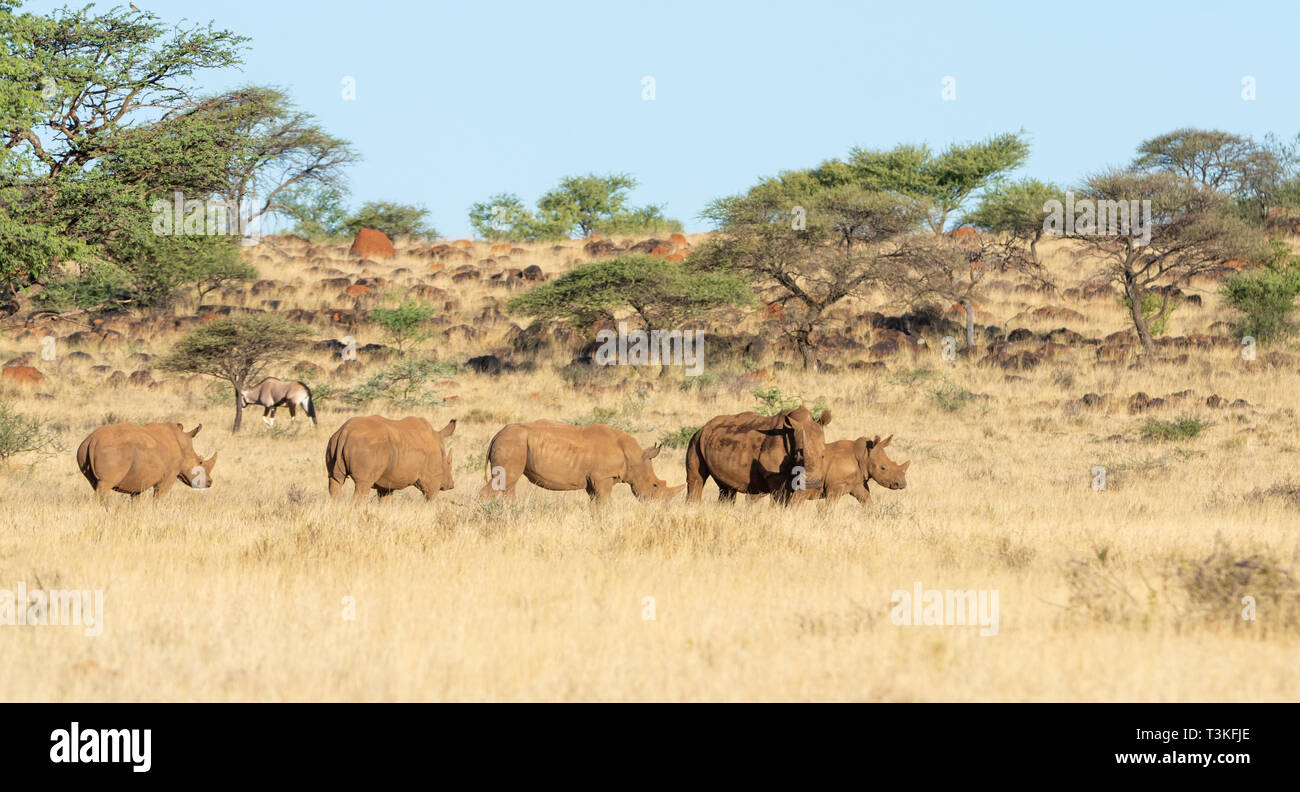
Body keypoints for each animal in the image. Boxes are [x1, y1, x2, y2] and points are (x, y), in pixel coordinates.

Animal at [76, 423, 217, 496]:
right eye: (200, 462)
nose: (210, 482)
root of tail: (93, 440)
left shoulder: (137, 479)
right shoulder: (168, 476)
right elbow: (159, 497)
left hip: (83, 449)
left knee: (95, 485)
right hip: (111, 450)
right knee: (103, 487)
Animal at [325, 413, 457, 499]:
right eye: (447, 464)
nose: (451, 485)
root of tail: (344, 432)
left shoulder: (387, 483)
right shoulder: (431, 479)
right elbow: (431, 497)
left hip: (333, 442)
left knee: (335, 481)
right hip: (366, 446)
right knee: (362, 485)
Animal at [478, 421, 681, 499]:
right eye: (655, 485)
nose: (660, 507)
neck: (634, 457)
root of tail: (496, 436)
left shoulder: (593, 481)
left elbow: (595, 504)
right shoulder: (603, 478)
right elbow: (604, 502)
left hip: (512, 443)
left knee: (508, 484)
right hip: (512, 444)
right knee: (505, 480)